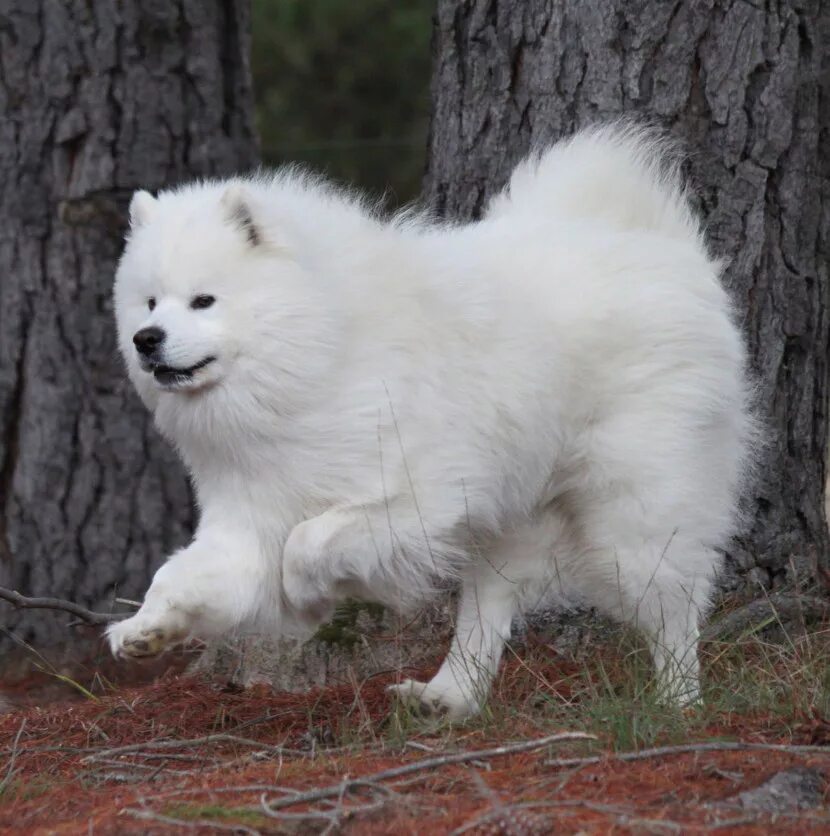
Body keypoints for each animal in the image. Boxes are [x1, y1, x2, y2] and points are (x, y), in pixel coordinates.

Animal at [107, 124, 756, 720]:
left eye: (203, 301)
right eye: (149, 303)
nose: (147, 340)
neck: (319, 350)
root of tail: (656, 243)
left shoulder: (416, 495)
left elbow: (307, 543)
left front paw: (305, 597)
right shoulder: (249, 512)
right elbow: (183, 573)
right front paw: (145, 629)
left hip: (631, 510)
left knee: (673, 608)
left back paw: (678, 703)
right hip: (513, 518)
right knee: (488, 612)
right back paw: (446, 698)